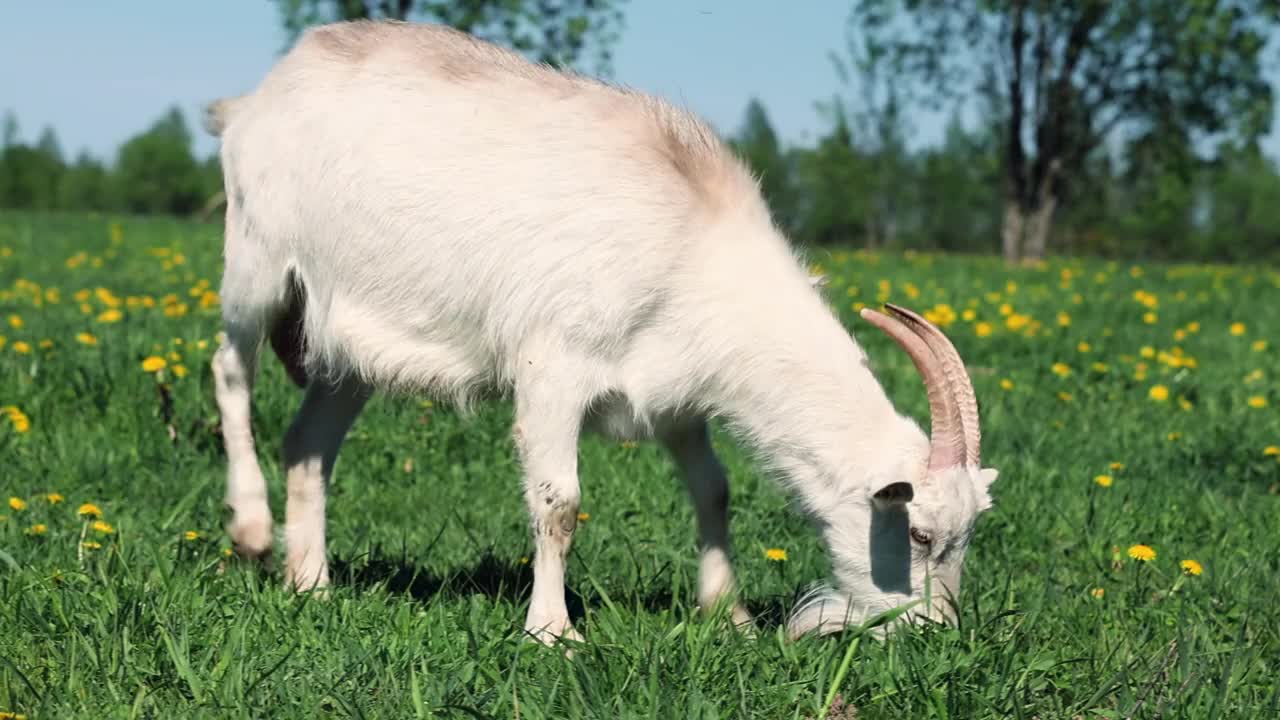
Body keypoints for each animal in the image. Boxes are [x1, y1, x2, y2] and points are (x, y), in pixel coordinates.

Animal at [202, 19, 998, 640]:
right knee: (229, 367)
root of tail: (255, 99)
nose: (936, 634)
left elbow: (713, 490)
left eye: (966, 535)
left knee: (309, 443)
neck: (693, 244)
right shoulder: (554, 365)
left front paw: (729, 616)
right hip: (257, 260)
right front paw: (553, 632)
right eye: (920, 533)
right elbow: (560, 503)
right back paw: (252, 529)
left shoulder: (674, 392)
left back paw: (312, 581)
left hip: (351, 346)